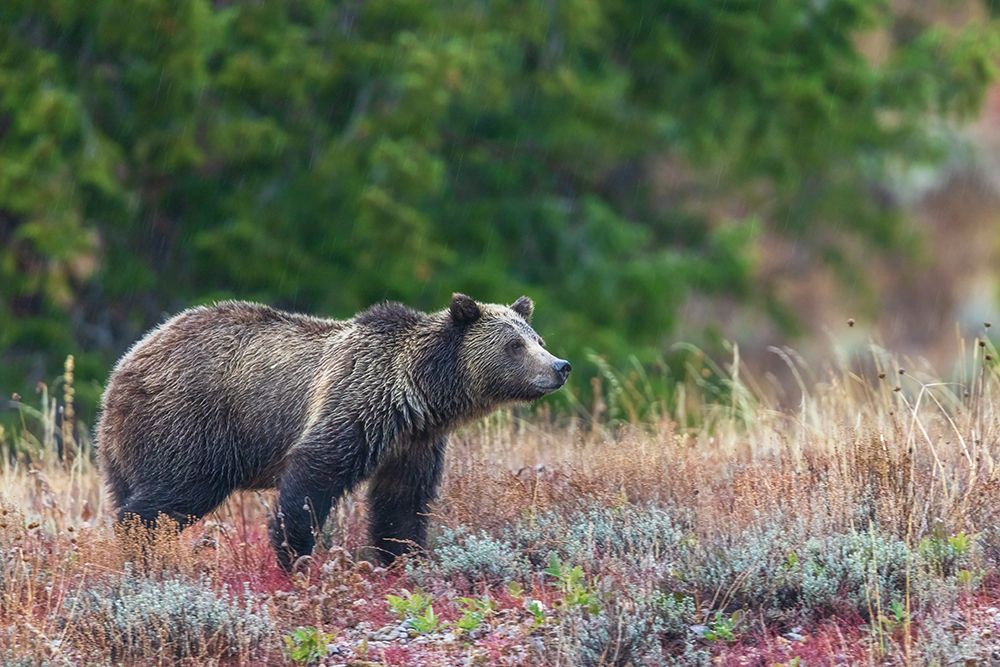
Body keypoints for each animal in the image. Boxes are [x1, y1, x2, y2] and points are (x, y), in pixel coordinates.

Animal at [96, 293, 571, 570]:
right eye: (514, 345)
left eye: (538, 339)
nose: (560, 367)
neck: (420, 394)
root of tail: (125, 365)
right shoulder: (358, 403)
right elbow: (315, 474)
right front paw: (295, 554)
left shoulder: (413, 443)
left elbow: (402, 500)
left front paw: (405, 556)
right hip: (191, 424)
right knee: (174, 493)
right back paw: (141, 548)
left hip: (128, 445)